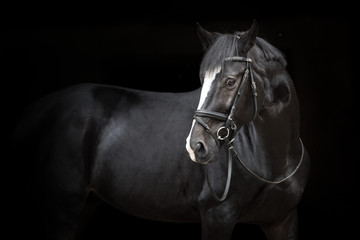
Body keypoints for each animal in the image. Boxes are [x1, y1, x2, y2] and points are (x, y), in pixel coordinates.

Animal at [11, 21, 310, 240]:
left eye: (230, 81)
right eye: (202, 79)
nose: (196, 145)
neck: (272, 159)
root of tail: (41, 109)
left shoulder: (282, 221)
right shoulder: (218, 217)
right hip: (63, 209)